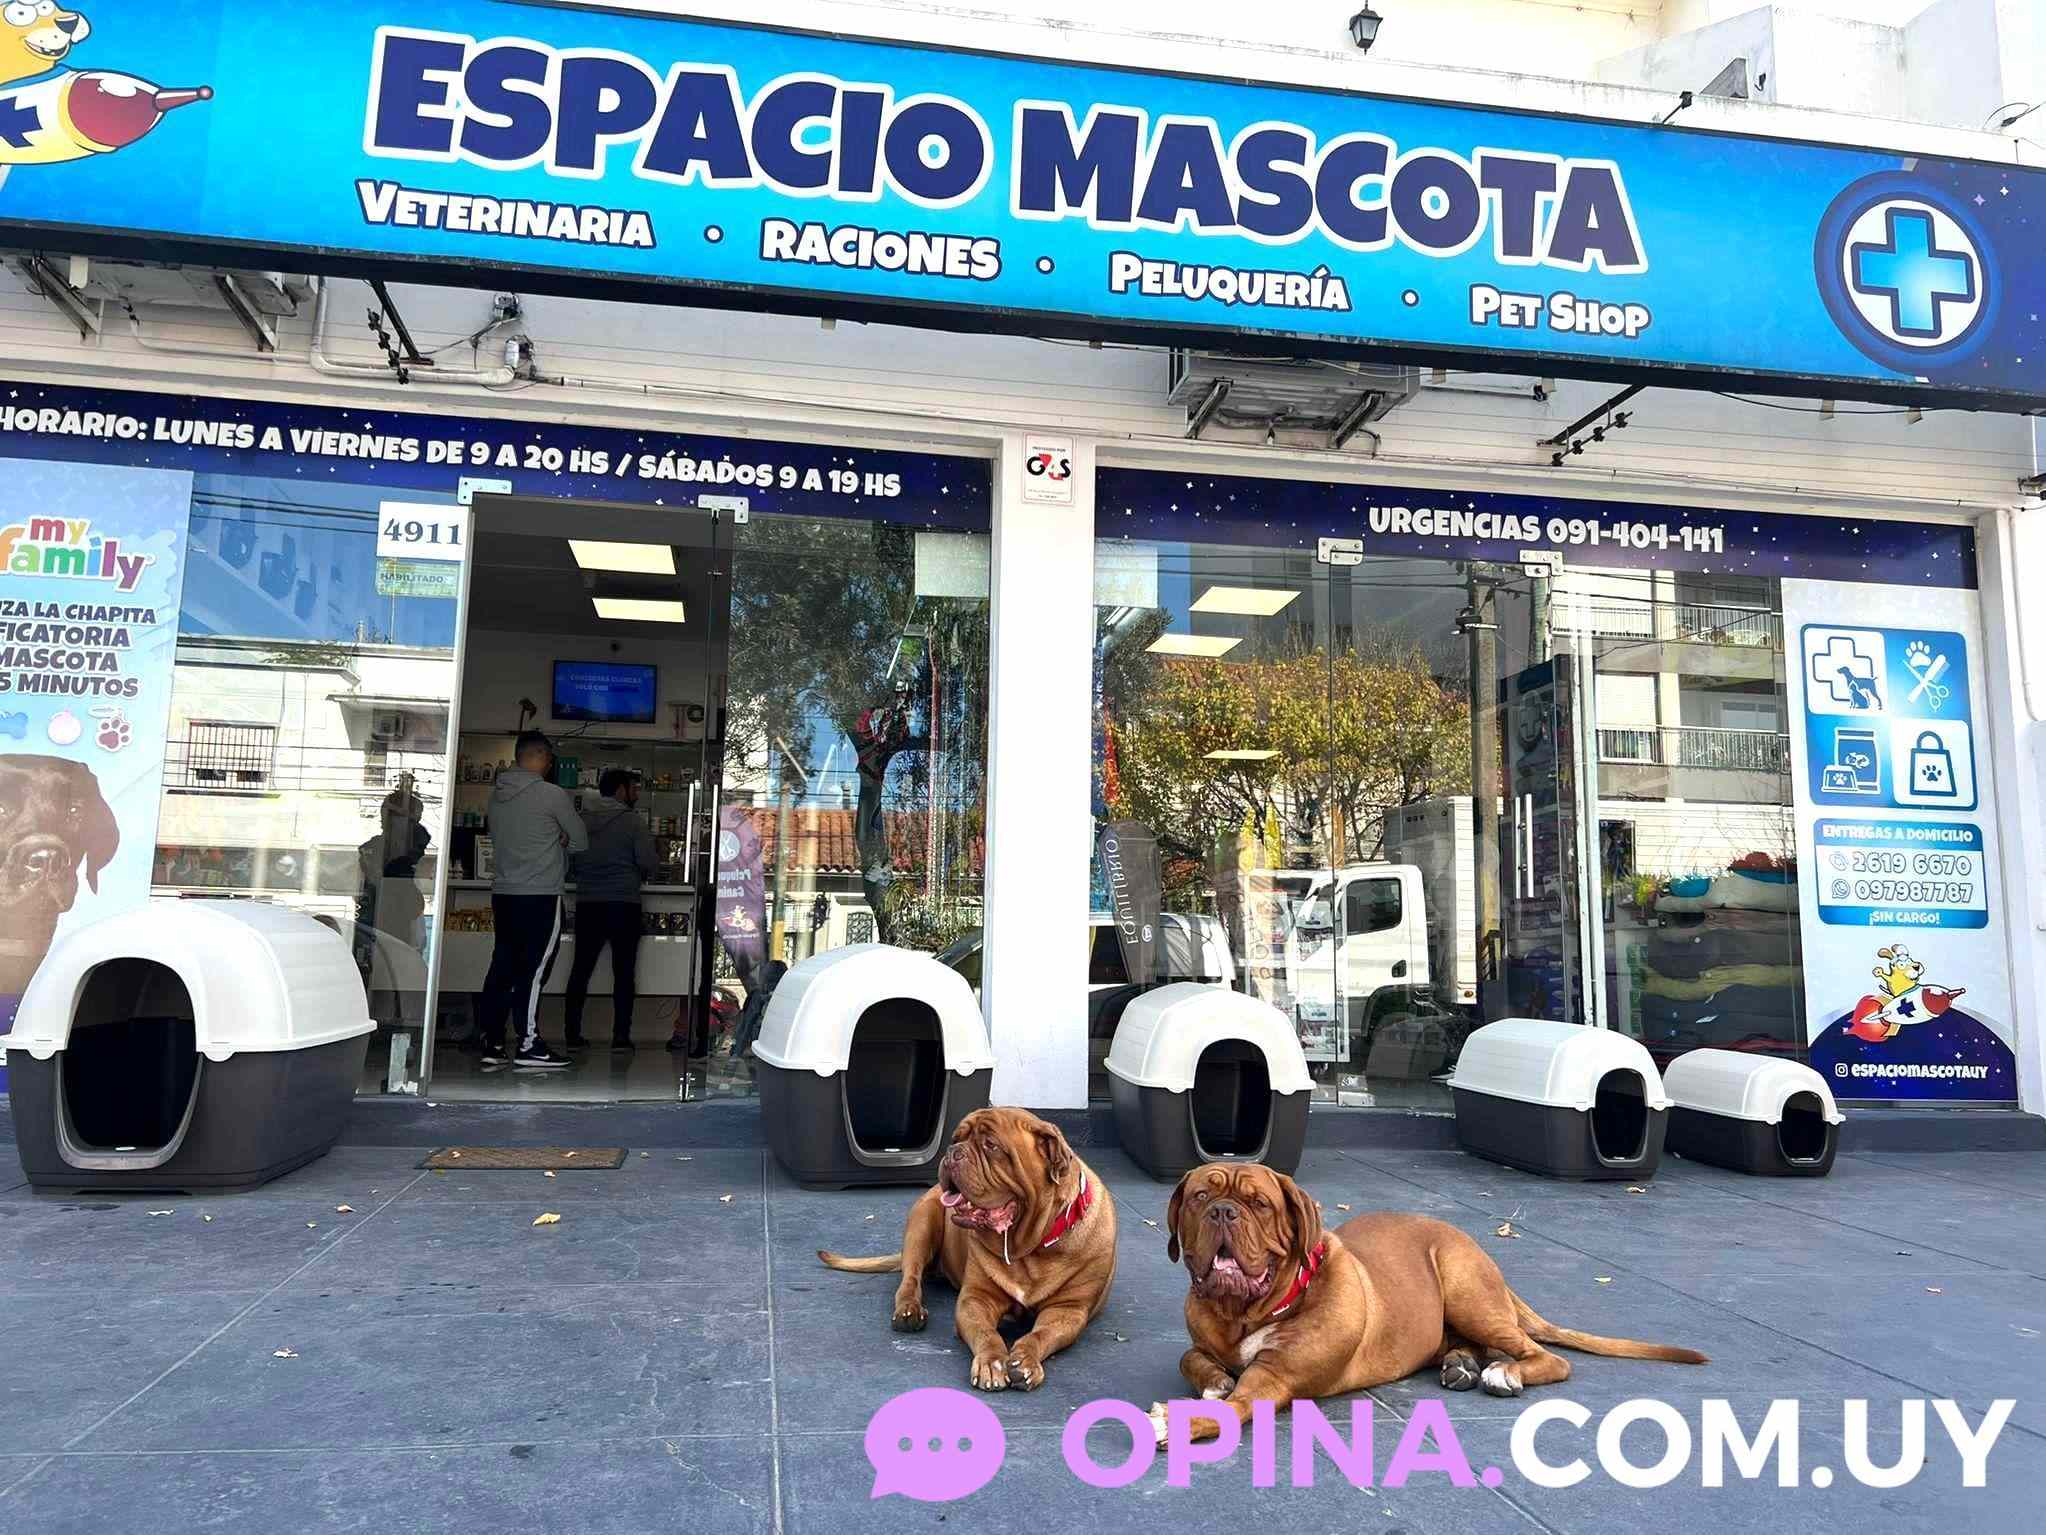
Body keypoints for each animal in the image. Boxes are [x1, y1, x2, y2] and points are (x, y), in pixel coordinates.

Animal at [818, 1106, 1118, 1392]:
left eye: (991, 1145)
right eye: (956, 1139)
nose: (952, 1152)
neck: (1027, 1248)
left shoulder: (1067, 1310)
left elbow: (1040, 1335)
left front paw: (1025, 1361)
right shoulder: (975, 1299)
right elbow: (987, 1333)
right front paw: (991, 1363)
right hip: (922, 1222)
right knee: (909, 1278)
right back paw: (909, 1311)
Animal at [1158, 1162, 1705, 1440]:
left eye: (1259, 1204)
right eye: (1200, 1197)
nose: (1224, 1212)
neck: (1246, 1315)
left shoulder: (1275, 1380)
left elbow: (1233, 1406)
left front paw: (1171, 1423)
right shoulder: (1204, 1343)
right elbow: (1190, 1358)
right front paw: (1215, 1380)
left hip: (1467, 1290)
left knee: (1544, 1357)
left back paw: (1502, 1373)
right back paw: (1461, 1364)